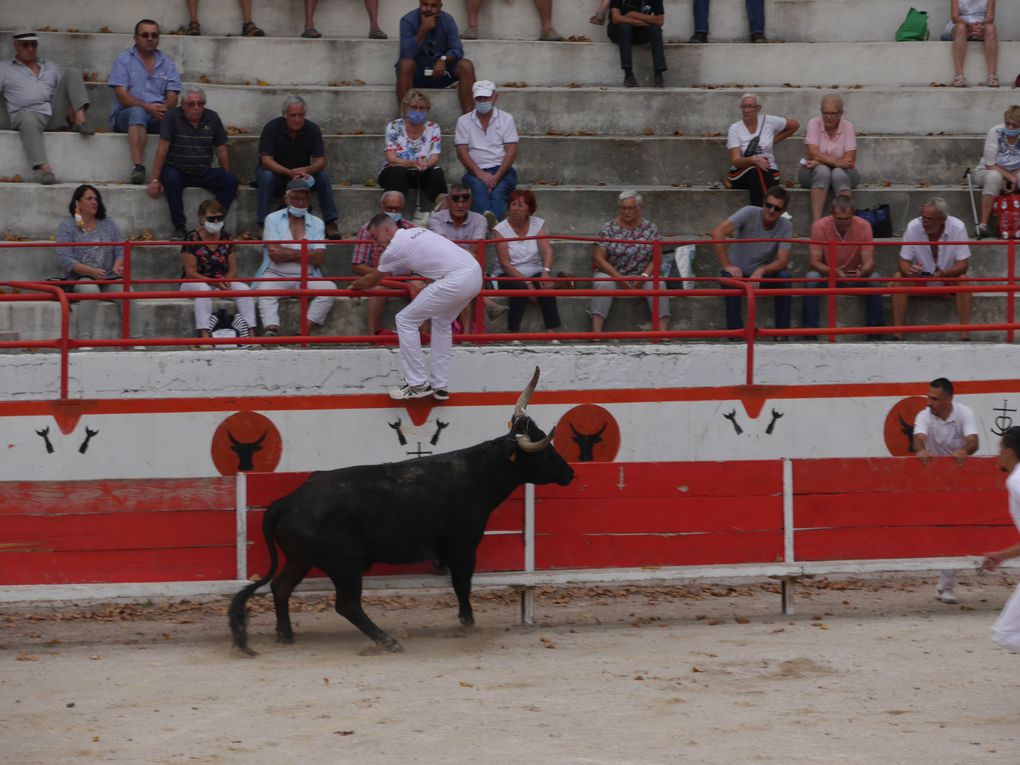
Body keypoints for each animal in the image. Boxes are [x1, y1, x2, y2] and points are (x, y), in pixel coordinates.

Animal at [228, 369, 575, 656]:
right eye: (543, 451)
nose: (569, 472)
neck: (479, 473)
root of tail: (287, 501)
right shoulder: (463, 545)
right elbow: (462, 584)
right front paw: (467, 624)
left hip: (301, 558)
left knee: (281, 587)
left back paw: (285, 635)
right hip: (345, 564)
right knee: (347, 604)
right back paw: (387, 641)